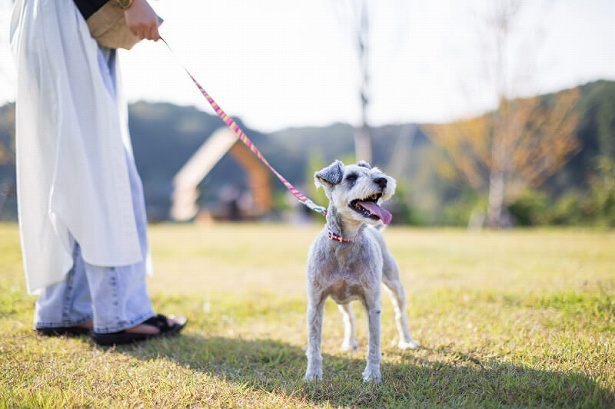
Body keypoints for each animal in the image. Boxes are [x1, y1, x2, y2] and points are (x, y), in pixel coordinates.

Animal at [306, 160, 422, 382]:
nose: (383, 180)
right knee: (349, 318)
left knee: (400, 314)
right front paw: (313, 374)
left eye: (375, 172)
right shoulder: (316, 304)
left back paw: (407, 341)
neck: (345, 242)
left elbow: (374, 346)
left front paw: (372, 376)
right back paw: (349, 343)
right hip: (341, 300)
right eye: (351, 177)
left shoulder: (372, 304)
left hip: (395, 285)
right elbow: (314, 344)